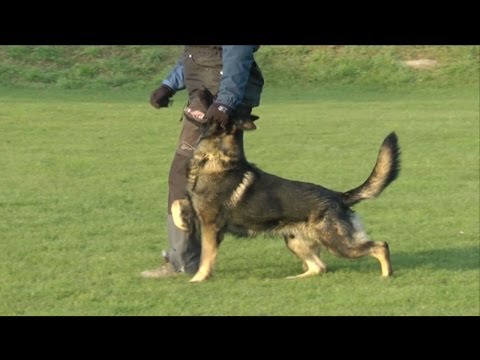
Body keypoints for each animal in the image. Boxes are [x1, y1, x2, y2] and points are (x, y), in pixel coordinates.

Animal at [172, 100, 402, 282]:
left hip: (338, 244)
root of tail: (339, 196)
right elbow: (177, 203)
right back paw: (291, 278)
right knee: (319, 267)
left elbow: (206, 256)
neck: (214, 158)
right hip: (295, 242)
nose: (200, 89)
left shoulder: (210, 226)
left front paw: (198, 279)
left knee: (380, 246)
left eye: (212, 104)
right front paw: (181, 222)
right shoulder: (196, 208)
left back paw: (386, 275)